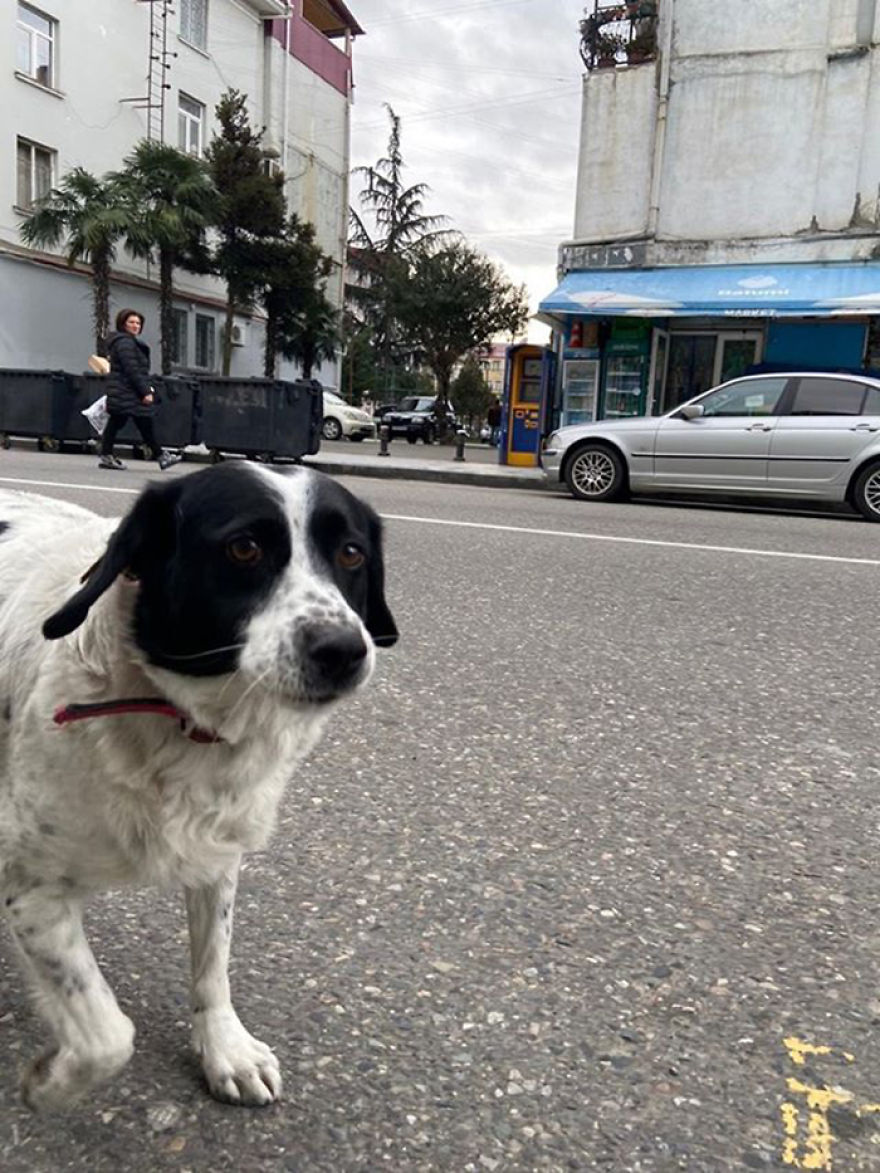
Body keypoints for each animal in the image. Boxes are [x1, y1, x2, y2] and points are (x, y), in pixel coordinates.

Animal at [0, 464, 396, 1107]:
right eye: (244, 548)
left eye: (351, 552)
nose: (344, 651)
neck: (177, 720)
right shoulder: (31, 889)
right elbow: (108, 1034)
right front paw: (49, 1085)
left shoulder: (217, 849)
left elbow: (213, 965)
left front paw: (224, 1050)